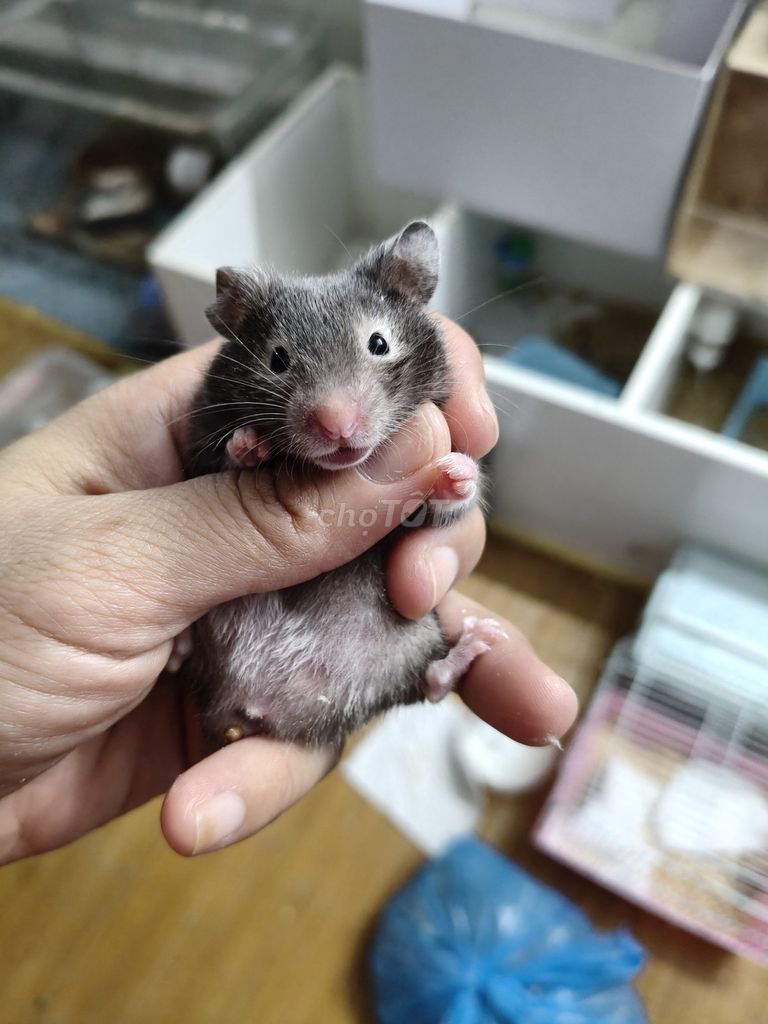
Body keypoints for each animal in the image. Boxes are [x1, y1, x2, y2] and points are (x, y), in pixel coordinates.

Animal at [180, 221, 504, 749]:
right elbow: (219, 459)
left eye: (379, 343)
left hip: (413, 642)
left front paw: (455, 471)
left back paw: (480, 640)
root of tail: (256, 704)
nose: (338, 427)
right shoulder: (196, 442)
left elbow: (446, 508)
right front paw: (251, 444)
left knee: (432, 682)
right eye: (277, 359)